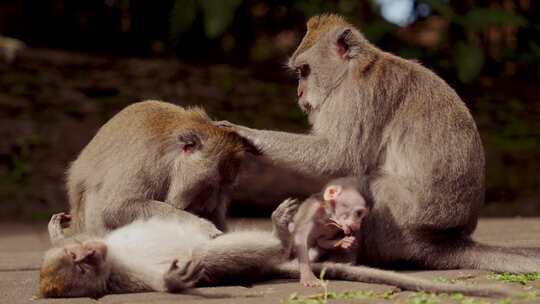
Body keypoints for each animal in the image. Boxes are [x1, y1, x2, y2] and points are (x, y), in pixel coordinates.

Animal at [67, 100, 258, 235]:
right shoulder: (145, 159)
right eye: (209, 185)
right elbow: (115, 208)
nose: (210, 207)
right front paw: (201, 226)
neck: (169, 160)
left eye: (223, 188)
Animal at [218, 13, 540, 272]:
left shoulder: (356, 97)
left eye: (304, 71)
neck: (354, 68)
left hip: (407, 225)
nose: (299, 93)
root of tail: (450, 238)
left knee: (371, 185)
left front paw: (249, 134)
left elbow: (338, 157)